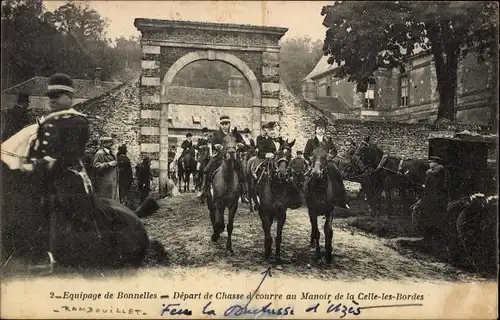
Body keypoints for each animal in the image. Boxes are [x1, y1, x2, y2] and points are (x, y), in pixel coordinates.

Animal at [206, 126, 245, 254]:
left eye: (235, 140)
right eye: (223, 141)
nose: (232, 153)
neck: (227, 178)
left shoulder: (233, 204)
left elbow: (229, 226)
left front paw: (229, 247)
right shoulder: (217, 201)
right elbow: (218, 222)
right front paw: (216, 233)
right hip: (211, 201)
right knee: (213, 214)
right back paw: (215, 233)